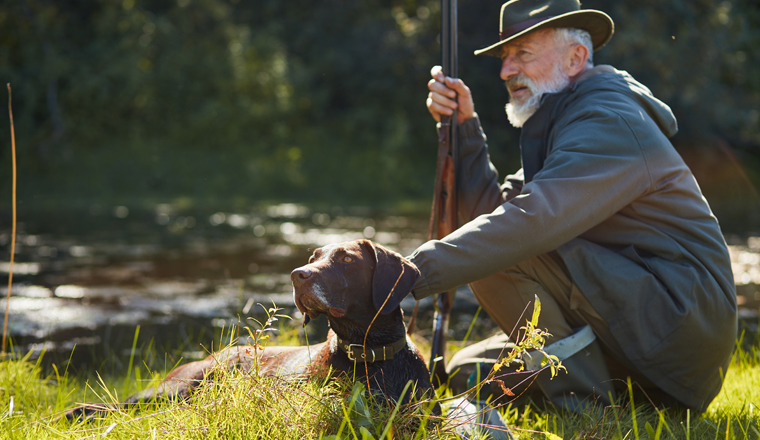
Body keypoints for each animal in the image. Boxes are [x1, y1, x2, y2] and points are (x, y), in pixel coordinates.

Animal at [65, 241, 436, 420]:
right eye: (313, 257)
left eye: (347, 259)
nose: (297, 275)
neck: (369, 353)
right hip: (178, 387)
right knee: (121, 406)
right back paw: (76, 412)